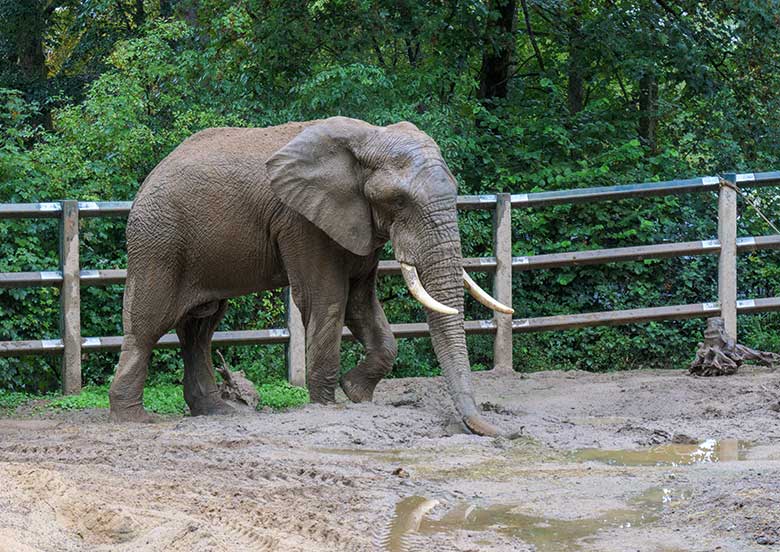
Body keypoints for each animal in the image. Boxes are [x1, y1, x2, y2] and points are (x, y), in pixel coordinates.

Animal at [108, 115, 512, 436]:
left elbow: (361, 305)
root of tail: (149, 178)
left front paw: (357, 394)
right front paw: (328, 406)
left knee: (199, 329)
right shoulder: (302, 221)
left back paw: (217, 413)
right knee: (148, 326)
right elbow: (327, 299)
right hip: (159, 242)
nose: (507, 434)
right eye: (398, 201)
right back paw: (135, 419)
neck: (367, 138)